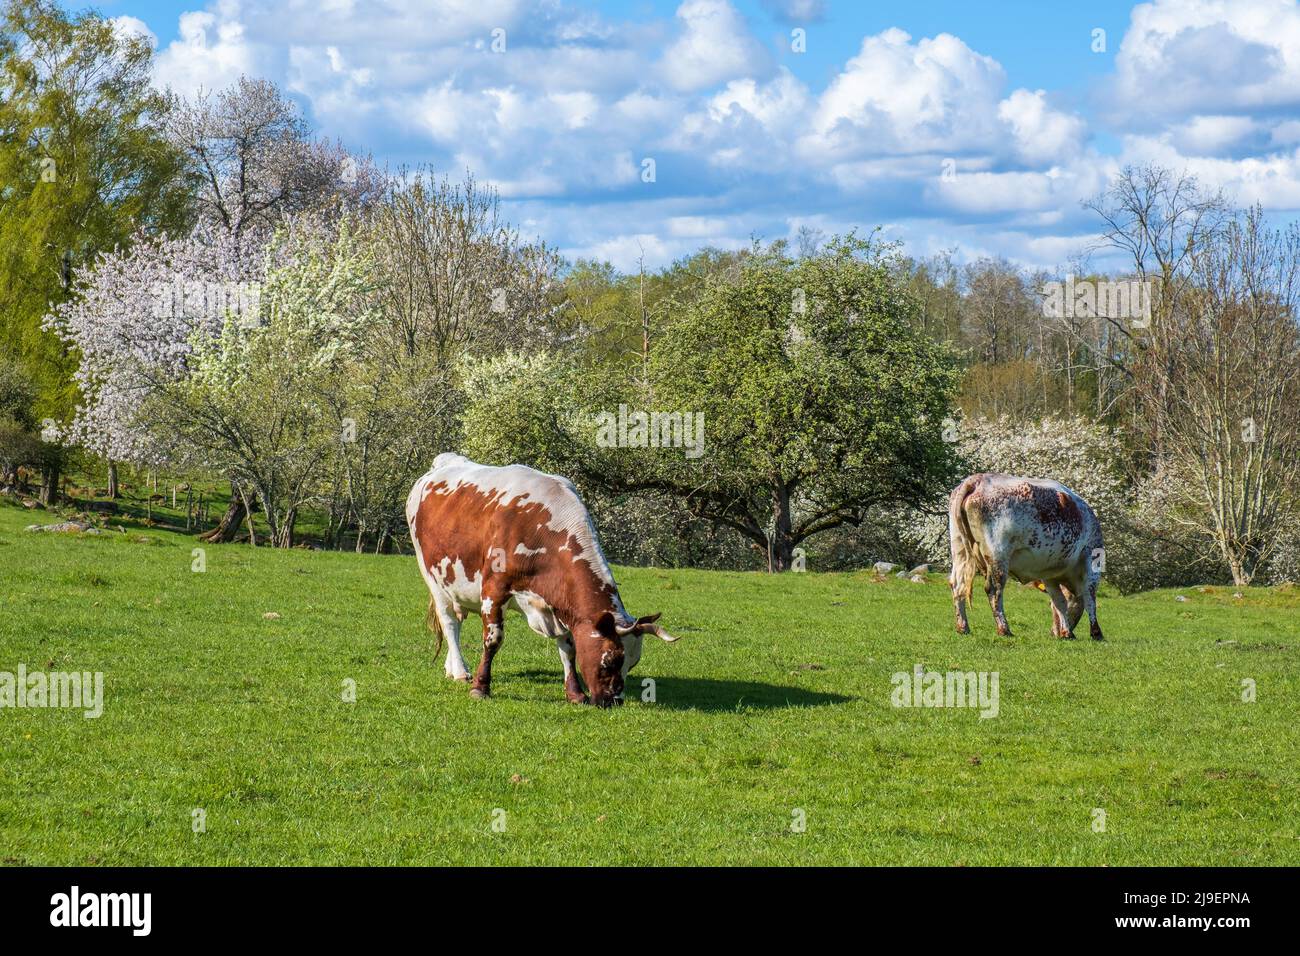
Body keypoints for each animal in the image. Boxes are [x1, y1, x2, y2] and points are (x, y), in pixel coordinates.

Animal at [403, 452, 681, 707]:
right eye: (610, 660)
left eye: (632, 664)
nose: (613, 701)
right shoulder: (494, 589)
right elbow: (493, 640)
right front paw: (480, 688)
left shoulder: (559, 606)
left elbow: (569, 647)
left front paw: (575, 693)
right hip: (432, 578)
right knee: (449, 622)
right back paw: (461, 671)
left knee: (456, 623)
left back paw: (453, 668)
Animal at [946, 473, 1107, 639]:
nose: (1053, 632)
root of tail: (978, 479)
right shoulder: (1091, 558)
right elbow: (1090, 598)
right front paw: (1096, 632)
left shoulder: (1049, 574)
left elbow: (1059, 601)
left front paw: (1066, 632)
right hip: (998, 554)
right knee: (994, 589)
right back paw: (1004, 629)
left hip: (959, 548)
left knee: (957, 585)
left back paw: (963, 627)